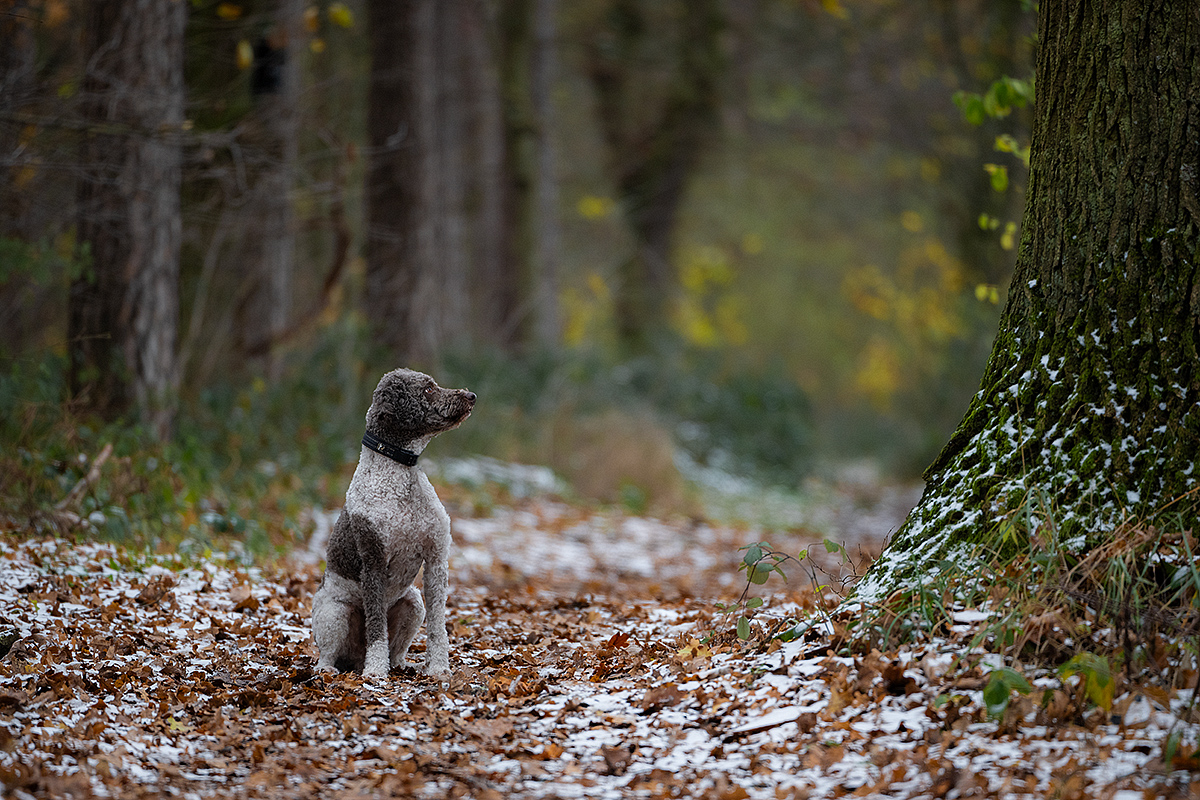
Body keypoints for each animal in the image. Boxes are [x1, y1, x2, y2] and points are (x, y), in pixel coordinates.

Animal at [312, 367, 475, 676]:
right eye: (427, 389)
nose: (471, 395)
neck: (399, 477)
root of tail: (355, 659)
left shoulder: (437, 560)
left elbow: (438, 627)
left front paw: (438, 668)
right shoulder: (373, 563)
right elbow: (377, 627)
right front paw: (376, 671)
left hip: (413, 603)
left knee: (397, 648)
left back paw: (400, 665)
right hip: (333, 612)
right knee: (327, 653)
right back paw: (333, 668)